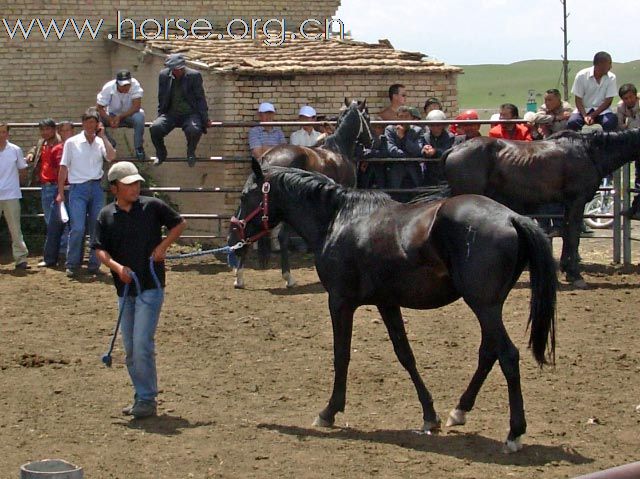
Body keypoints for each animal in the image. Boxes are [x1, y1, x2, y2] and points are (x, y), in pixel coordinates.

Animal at [229, 160, 556, 454]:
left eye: (245, 196)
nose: (234, 237)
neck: (338, 220)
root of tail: (512, 218)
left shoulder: (340, 301)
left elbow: (341, 355)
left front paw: (329, 412)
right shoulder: (387, 303)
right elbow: (405, 355)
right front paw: (430, 416)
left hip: (484, 306)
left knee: (508, 356)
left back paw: (514, 433)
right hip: (488, 307)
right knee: (488, 353)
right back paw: (459, 410)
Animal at [230, 99, 372, 288]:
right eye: (368, 117)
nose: (371, 141)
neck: (338, 149)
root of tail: (267, 158)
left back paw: (239, 277)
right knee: (282, 237)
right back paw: (288, 278)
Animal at [442, 128, 640, 288]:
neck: (589, 152)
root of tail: (454, 149)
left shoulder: (568, 204)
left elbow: (567, 234)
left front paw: (567, 271)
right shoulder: (577, 201)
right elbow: (573, 236)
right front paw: (575, 275)